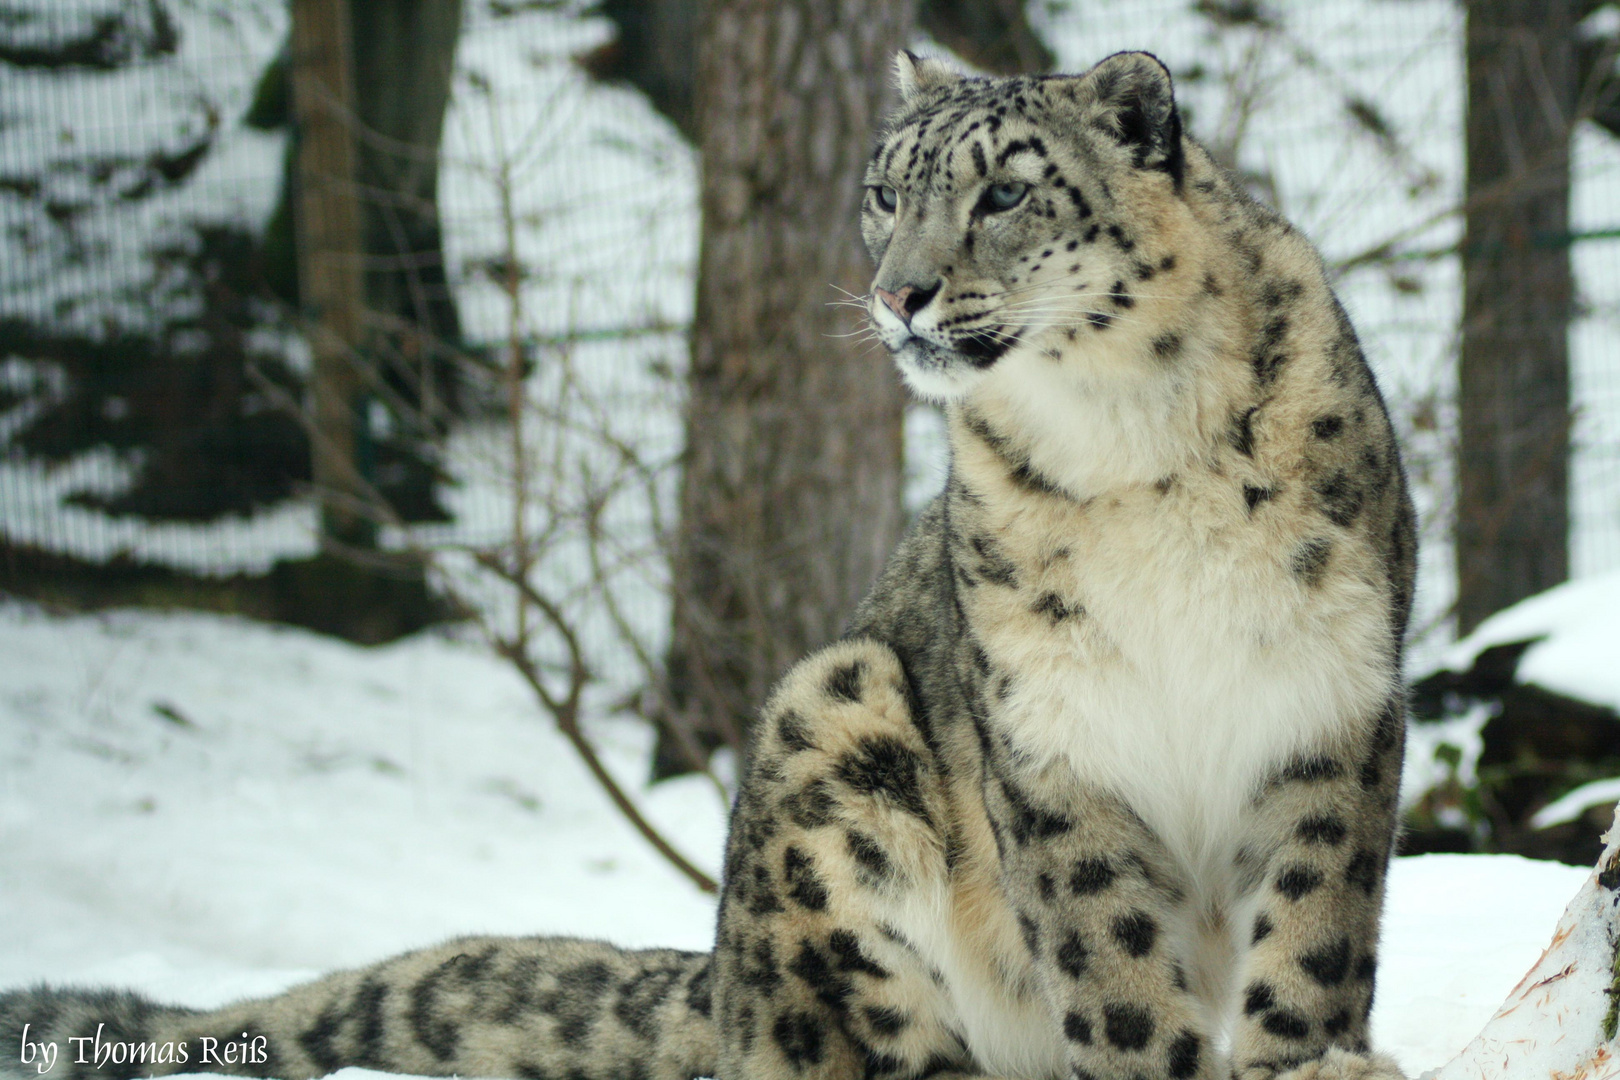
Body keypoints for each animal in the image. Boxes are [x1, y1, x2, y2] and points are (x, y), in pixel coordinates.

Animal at [0, 52, 1412, 1080]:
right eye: (886, 191)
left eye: (1005, 193)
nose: (898, 293)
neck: (1130, 439)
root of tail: (721, 970)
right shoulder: (1053, 733)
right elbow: (1108, 955)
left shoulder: (1332, 696)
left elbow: (1314, 927)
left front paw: (1311, 1066)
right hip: (830, 722)